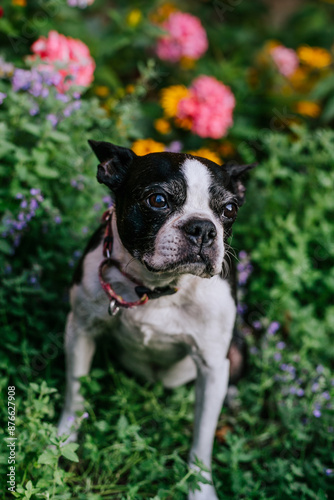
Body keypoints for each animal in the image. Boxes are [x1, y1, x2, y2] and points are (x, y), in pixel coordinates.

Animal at [58, 142, 256, 500]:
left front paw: (200, 488)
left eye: (230, 209)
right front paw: (62, 439)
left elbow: (202, 440)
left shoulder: (211, 365)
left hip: (237, 349)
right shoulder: (80, 331)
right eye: (158, 200)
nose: (203, 227)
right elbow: (74, 392)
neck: (157, 288)